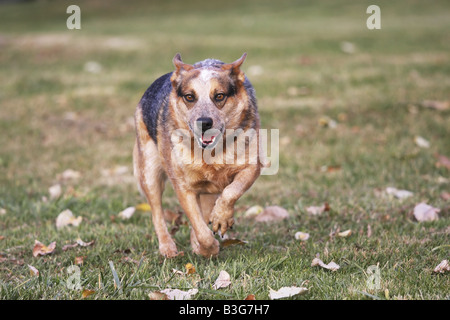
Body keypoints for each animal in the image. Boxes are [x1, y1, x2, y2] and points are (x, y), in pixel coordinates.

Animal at [132, 53, 262, 258]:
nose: (204, 122)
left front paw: (221, 219)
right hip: (149, 171)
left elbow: (231, 191)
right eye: (189, 97)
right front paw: (210, 247)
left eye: (219, 96)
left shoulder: (252, 167)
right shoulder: (183, 187)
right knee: (157, 212)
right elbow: (200, 228)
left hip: (209, 190)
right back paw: (167, 247)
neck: (211, 154)